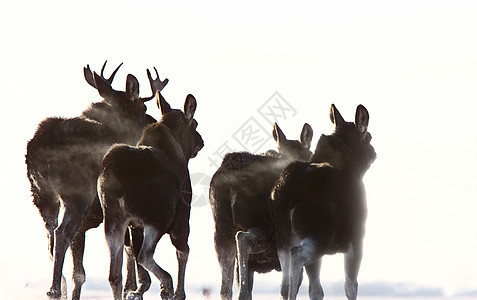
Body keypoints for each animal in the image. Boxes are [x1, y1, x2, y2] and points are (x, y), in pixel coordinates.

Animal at [26, 61, 168, 300]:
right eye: (143, 108)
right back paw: (55, 289)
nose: (153, 124)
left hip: (42, 196)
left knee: (50, 237)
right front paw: (136, 287)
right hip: (77, 195)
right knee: (62, 234)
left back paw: (57, 287)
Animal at [98, 91, 203, 300]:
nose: (201, 141)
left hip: (113, 220)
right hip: (158, 218)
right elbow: (183, 251)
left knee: (115, 273)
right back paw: (167, 282)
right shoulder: (182, 216)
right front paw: (178, 292)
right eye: (194, 124)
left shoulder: (134, 225)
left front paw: (138, 290)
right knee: (145, 254)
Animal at [270, 104, 374, 298]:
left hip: (283, 237)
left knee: (284, 283)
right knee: (297, 256)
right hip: (321, 233)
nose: (373, 152)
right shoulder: (357, 237)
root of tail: (289, 192)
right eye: (369, 136)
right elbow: (351, 286)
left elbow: (316, 290)